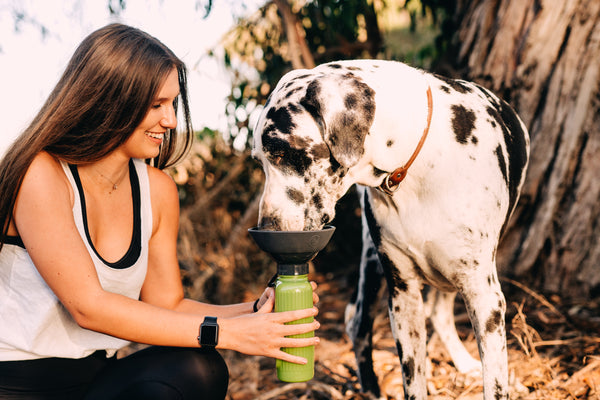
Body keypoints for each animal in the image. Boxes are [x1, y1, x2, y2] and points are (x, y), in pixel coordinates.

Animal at [252, 59, 528, 400]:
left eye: (280, 151)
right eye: (259, 160)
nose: (268, 228)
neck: (418, 167)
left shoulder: (484, 297)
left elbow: (496, 383)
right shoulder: (403, 295)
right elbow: (413, 381)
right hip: (372, 262)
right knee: (358, 323)